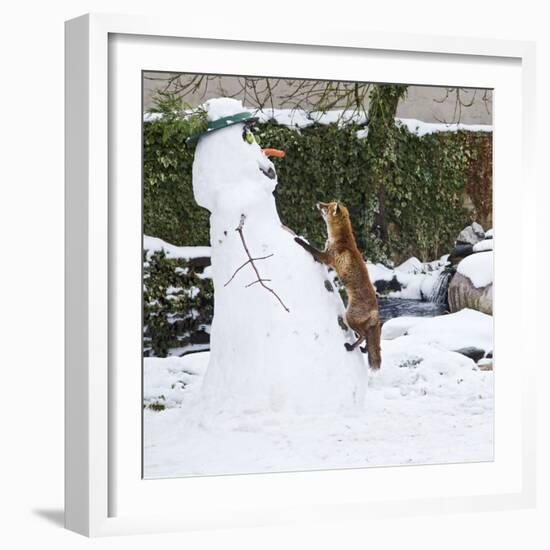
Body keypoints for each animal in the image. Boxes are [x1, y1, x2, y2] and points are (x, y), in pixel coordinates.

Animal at [296, 203, 382, 370]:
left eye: (327, 207)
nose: (318, 202)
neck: (340, 239)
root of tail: (376, 310)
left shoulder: (326, 257)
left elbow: (310, 247)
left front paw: (298, 239)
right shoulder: (325, 256)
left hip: (349, 317)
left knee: (363, 336)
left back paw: (351, 347)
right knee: (368, 340)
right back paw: (363, 349)